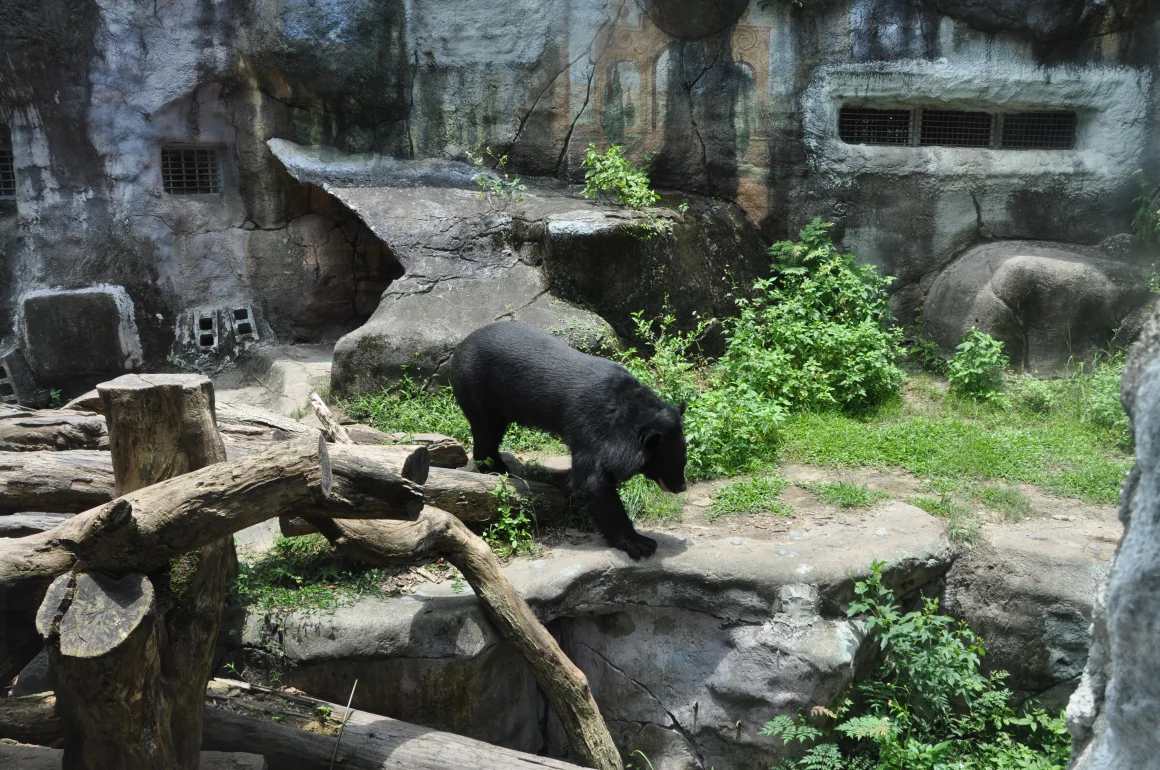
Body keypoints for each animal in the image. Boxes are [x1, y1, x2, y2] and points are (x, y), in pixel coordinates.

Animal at [449, 322, 688, 560]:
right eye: (669, 466)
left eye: (682, 463)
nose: (681, 487)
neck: (627, 411)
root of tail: (460, 347)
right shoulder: (590, 421)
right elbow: (593, 481)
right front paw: (640, 543)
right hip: (477, 387)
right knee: (486, 431)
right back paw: (497, 469)